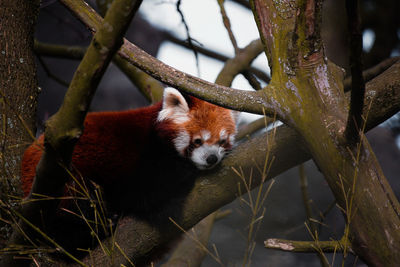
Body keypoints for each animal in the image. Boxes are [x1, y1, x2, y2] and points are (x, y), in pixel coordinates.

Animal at [20, 88, 236, 260]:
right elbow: (144, 193)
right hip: (59, 180)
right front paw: (186, 170)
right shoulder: (138, 159)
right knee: (77, 200)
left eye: (222, 141)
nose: (212, 159)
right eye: (198, 141)